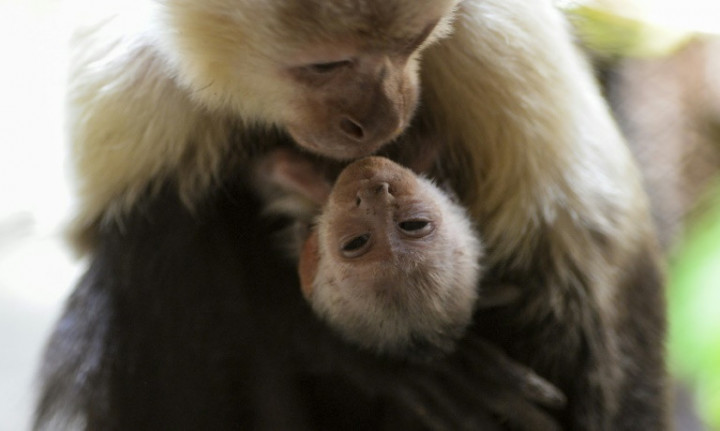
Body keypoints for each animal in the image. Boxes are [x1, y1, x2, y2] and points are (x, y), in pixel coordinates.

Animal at [36, 0, 667, 430]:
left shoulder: (491, 38)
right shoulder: (131, 87)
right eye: (326, 64)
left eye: (415, 41)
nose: (381, 118)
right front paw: (392, 365)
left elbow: (594, 268)